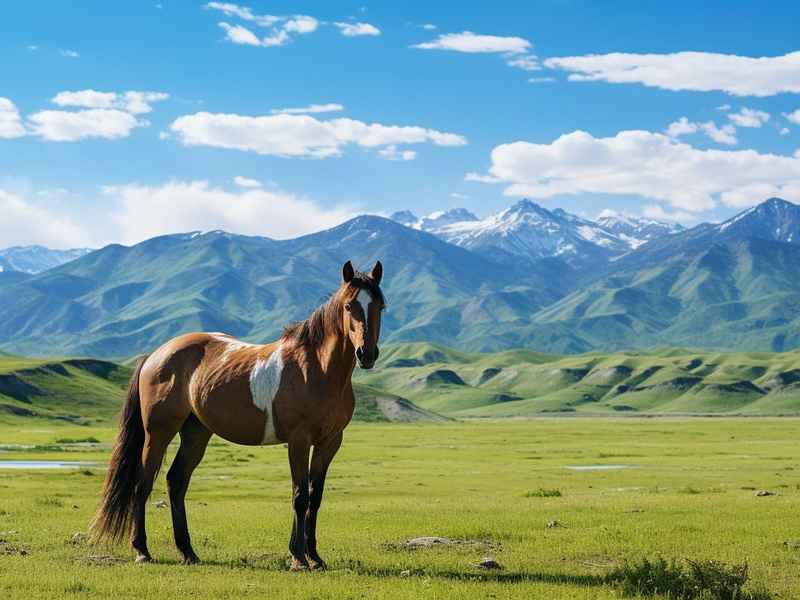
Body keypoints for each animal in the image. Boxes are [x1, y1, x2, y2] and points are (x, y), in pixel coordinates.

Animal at [90, 260, 385, 570]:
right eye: (349, 306)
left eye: (380, 305)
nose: (366, 354)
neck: (316, 368)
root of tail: (156, 355)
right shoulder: (299, 441)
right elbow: (300, 495)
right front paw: (298, 557)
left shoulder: (329, 442)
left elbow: (314, 497)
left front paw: (314, 557)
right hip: (158, 433)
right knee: (142, 484)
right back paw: (142, 550)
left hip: (196, 433)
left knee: (176, 482)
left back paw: (188, 551)